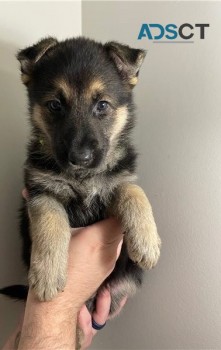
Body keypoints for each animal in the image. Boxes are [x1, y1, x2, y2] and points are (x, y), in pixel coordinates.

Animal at [1, 36, 161, 322]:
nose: (80, 157)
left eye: (102, 105)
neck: (83, 177)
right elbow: (50, 221)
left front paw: (146, 240)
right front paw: (47, 273)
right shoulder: (40, 191)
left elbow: (132, 190)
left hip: (123, 285)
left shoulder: (113, 187)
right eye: (55, 105)